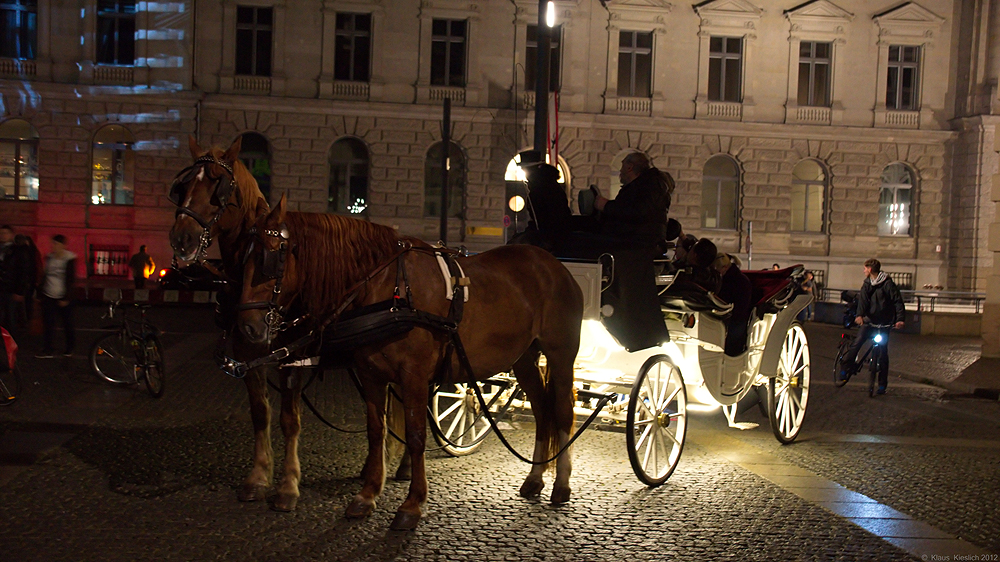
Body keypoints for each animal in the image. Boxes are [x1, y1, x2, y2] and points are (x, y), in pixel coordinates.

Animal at [237, 195, 584, 528]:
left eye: (269, 258)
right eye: (243, 257)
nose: (247, 328)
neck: (387, 290)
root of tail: (553, 265)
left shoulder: (414, 376)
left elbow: (416, 437)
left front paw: (412, 504)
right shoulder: (371, 375)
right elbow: (376, 431)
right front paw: (367, 496)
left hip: (561, 354)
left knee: (563, 411)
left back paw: (561, 485)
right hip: (523, 358)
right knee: (541, 410)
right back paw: (535, 478)